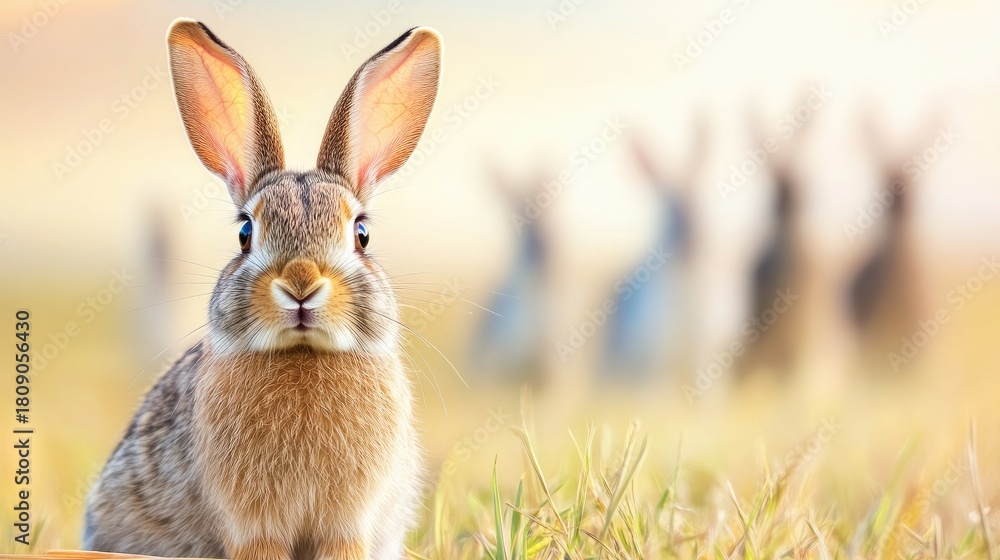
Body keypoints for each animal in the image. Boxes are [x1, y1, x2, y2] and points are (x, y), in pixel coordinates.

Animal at [83, 18, 442, 560]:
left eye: (361, 234)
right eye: (245, 233)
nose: (300, 284)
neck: (302, 354)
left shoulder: (347, 524)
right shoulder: (254, 525)